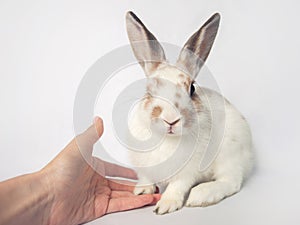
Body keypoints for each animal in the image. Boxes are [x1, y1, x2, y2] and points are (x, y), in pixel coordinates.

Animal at [124, 11, 253, 214]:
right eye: (149, 90)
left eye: (192, 89)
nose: (171, 120)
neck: (166, 139)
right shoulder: (145, 168)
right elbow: (146, 178)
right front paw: (142, 190)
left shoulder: (187, 173)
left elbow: (177, 186)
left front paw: (166, 205)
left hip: (229, 156)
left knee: (231, 182)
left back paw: (201, 195)